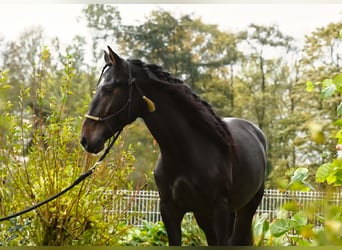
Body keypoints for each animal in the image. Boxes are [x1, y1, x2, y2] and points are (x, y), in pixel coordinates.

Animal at [80, 47, 268, 246]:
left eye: (107, 89)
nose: (85, 139)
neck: (185, 154)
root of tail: (254, 130)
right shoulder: (170, 211)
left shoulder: (220, 212)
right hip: (205, 216)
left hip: (245, 209)